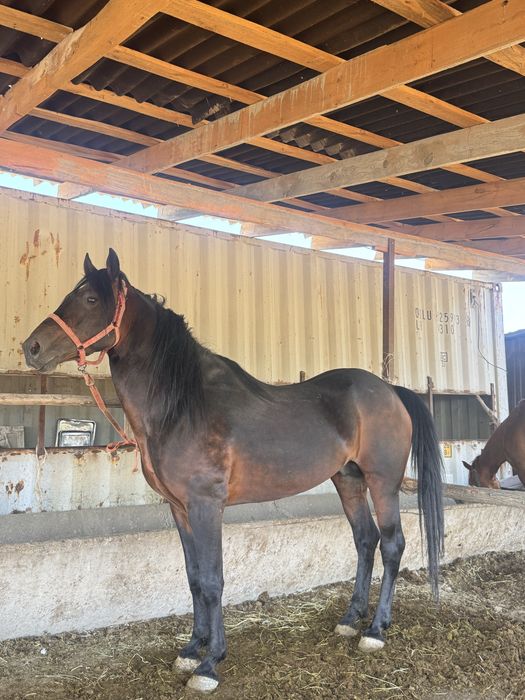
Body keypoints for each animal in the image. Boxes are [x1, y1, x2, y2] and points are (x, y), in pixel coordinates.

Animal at [23, 250, 444, 694]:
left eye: (90, 299)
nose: (31, 347)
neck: (184, 406)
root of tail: (390, 390)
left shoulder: (207, 505)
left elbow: (212, 580)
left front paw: (210, 664)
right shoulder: (179, 508)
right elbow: (193, 577)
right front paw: (191, 650)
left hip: (383, 483)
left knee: (392, 545)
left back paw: (376, 630)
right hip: (348, 479)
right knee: (365, 540)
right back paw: (349, 621)